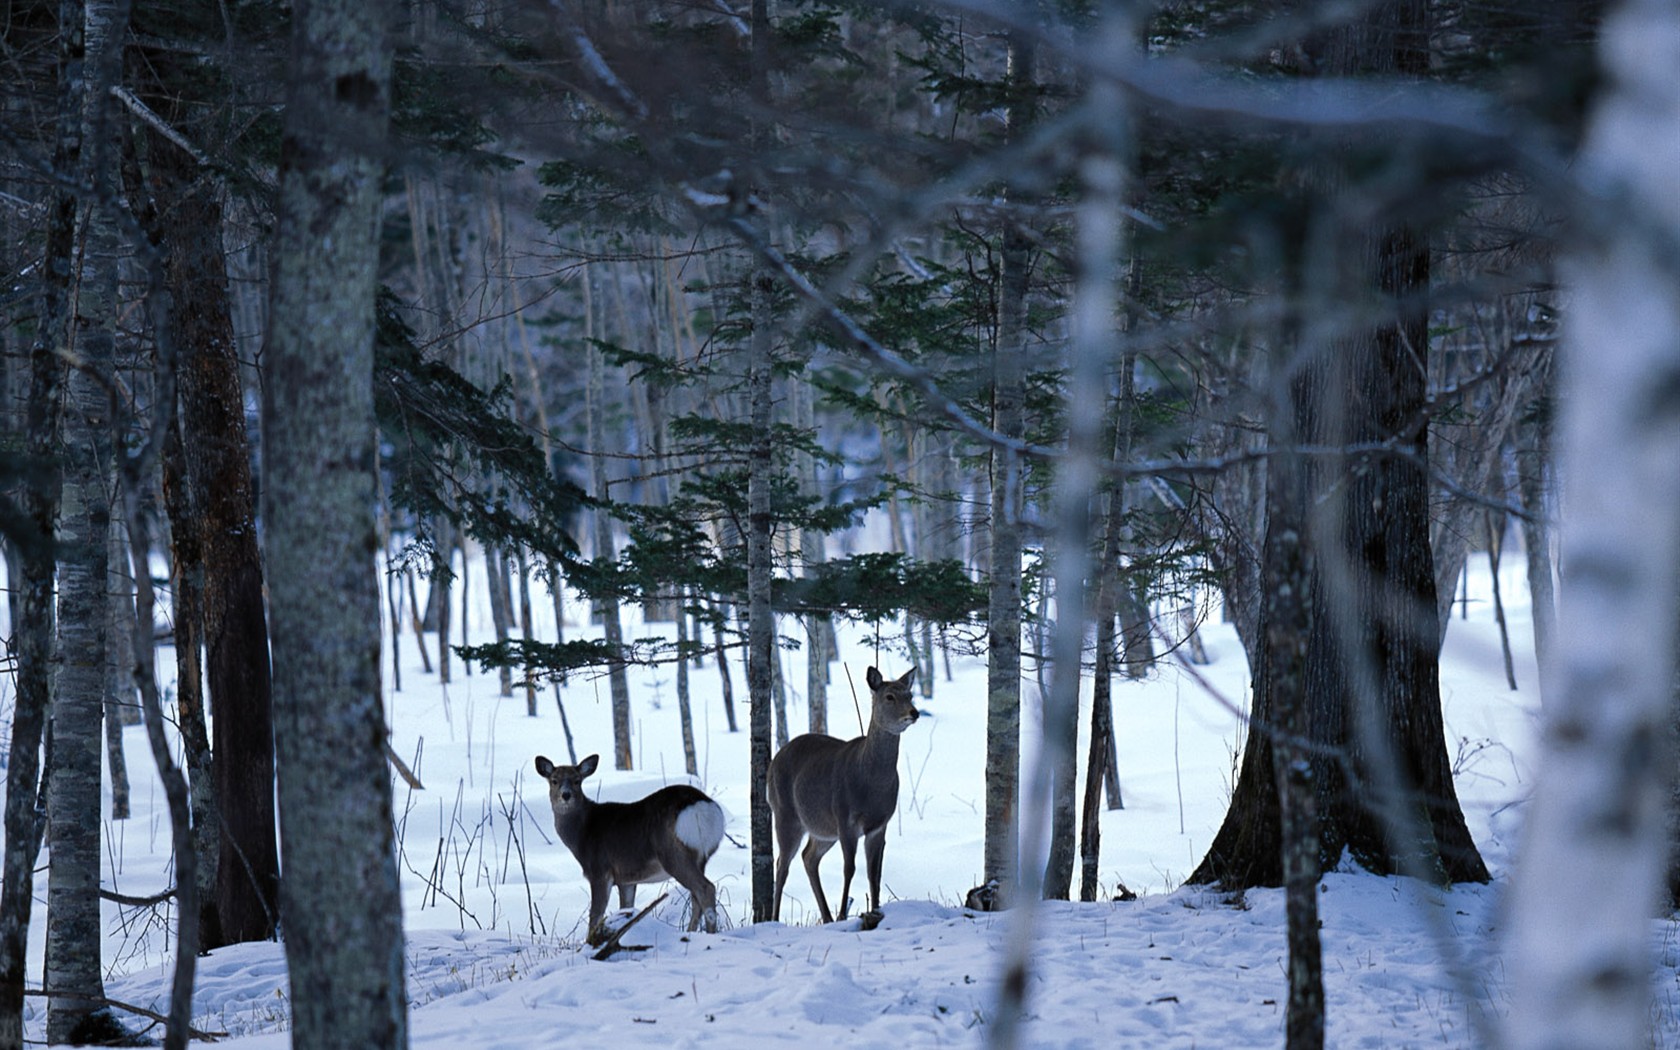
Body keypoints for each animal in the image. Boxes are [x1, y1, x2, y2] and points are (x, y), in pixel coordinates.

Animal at [534, 749, 725, 947]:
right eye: (554, 780)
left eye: (577, 780)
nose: (566, 795)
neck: (582, 833)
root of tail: (703, 807)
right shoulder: (627, 879)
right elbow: (626, 910)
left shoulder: (599, 871)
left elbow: (596, 915)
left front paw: (591, 943)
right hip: (701, 858)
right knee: (696, 897)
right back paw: (691, 935)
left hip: (673, 854)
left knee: (706, 888)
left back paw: (710, 937)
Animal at [769, 668, 920, 920]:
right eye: (889, 696)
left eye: (910, 695)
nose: (914, 712)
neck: (872, 785)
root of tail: (774, 759)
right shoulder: (845, 818)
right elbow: (849, 869)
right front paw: (842, 914)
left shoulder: (879, 824)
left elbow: (874, 872)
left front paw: (875, 909)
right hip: (785, 813)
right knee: (782, 864)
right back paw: (774, 918)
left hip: (822, 829)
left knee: (808, 857)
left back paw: (826, 916)